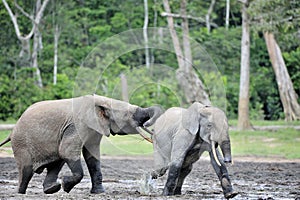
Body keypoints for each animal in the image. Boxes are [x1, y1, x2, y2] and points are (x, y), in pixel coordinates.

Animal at [0, 94, 162, 195]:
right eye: (129, 114)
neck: (100, 101)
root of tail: (12, 131)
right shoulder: (77, 125)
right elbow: (67, 151)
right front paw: (66, 185)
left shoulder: (94, 128)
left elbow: (92, 156)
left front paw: (99, 193)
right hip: (21, 144)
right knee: (27, 170)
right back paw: (22, 192)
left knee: (56, 162)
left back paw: (52, 189)